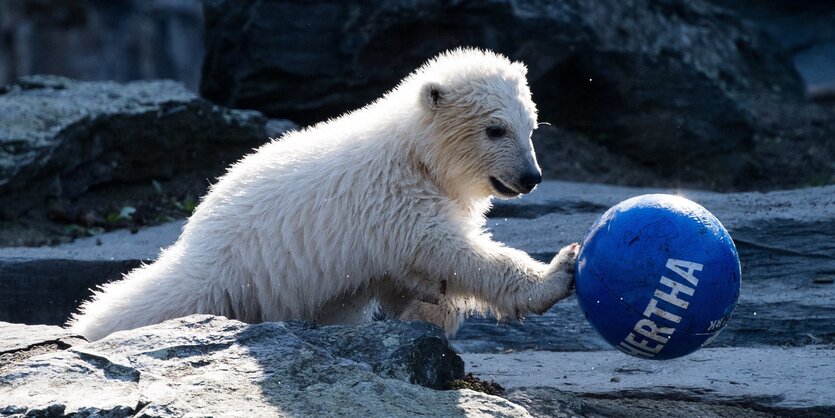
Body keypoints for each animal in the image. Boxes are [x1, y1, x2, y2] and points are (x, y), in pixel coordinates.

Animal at [68, 49, 580, 342]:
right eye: (495, 129)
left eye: (532, 127)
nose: (531, 176)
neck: (415, 153)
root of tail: (198, 234)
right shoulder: (391, 202)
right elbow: (451, 251)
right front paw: (557, 272)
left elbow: (412, 275)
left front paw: (430, 311)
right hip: (242, 275)